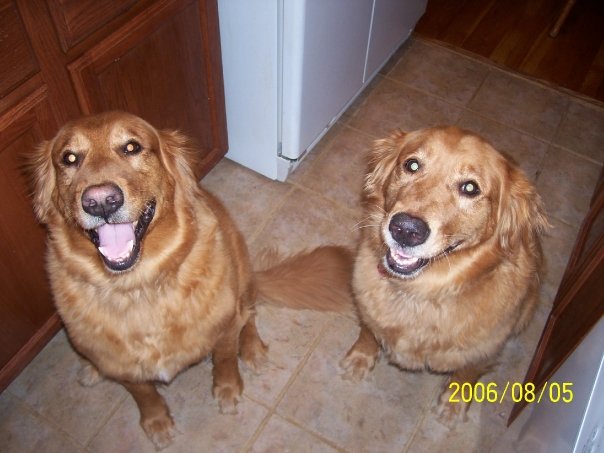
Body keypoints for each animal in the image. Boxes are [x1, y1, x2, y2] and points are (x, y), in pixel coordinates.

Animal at [30, 111, 353, 448]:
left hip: (242, 278)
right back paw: (91, 369)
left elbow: (225, 360)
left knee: (249, 316)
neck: (138, 286)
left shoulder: (224, 328)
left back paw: (252, 350)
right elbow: (144, 394)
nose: (101, 200)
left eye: (132, 147)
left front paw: (227, 389)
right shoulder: (125, 368)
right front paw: (156, 422)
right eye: (69, 158)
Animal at [341, 126, 548, 423]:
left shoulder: (484, 350)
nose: (406, 229)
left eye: (470, 188)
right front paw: (359, 359)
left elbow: (466, 374)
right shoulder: (366, 309)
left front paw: (454, 403)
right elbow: (368, 334)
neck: (422, 292)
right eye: (412, 165)